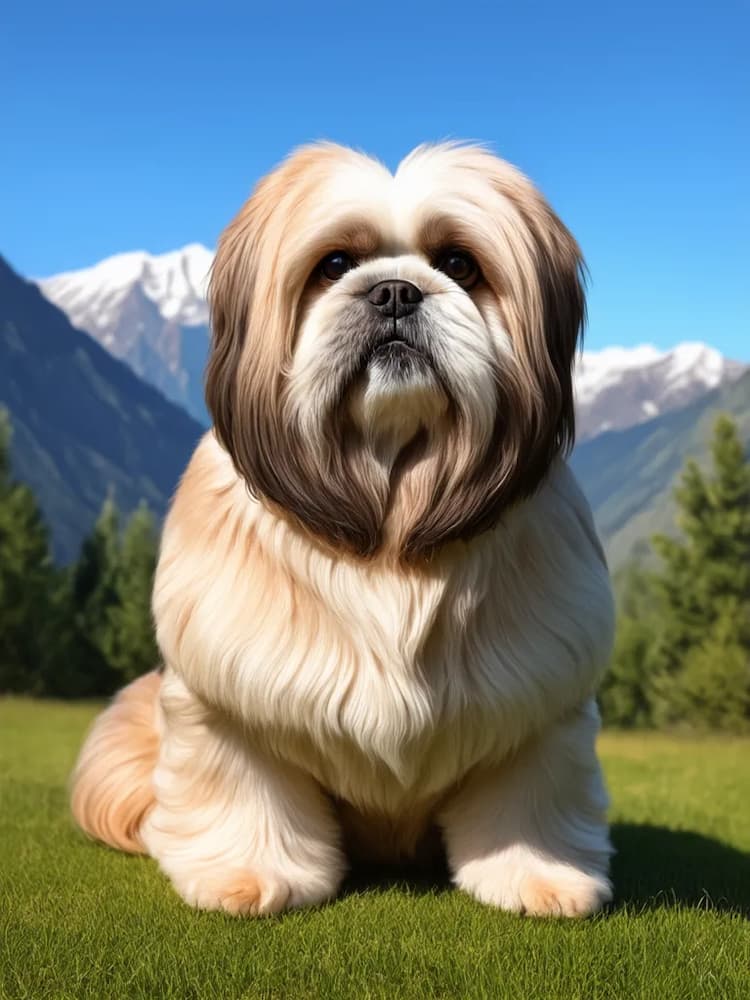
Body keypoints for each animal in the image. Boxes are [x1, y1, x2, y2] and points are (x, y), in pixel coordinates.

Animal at [72, 141, 616, 916]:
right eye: (333, 265)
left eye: (460, 264)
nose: (394, 291)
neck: (390, 494)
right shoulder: (228, 700)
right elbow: (247, 785)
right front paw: (249, 875)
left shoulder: (541, 703)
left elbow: (528, 792)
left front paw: (537, 876)